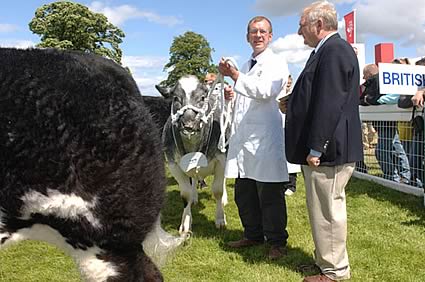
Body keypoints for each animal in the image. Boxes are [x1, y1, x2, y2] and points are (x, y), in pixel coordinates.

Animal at [156, 75, 229, 236]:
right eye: (176, 98)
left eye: (202, 98)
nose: (189, 124)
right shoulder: (173, 164)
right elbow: (186, 194)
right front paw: (185, 223)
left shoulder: (221, 161)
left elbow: (218, 190)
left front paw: (220, 219)